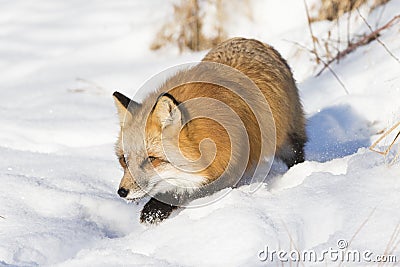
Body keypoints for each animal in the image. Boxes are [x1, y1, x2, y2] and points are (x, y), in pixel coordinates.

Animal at [112, 37, 306, 225]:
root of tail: (251, 40)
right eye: (124, 160)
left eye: (152, 159)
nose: (122, 192)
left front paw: (156, 209)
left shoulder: (229, 169)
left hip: (288, 141)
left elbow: (189, 191)